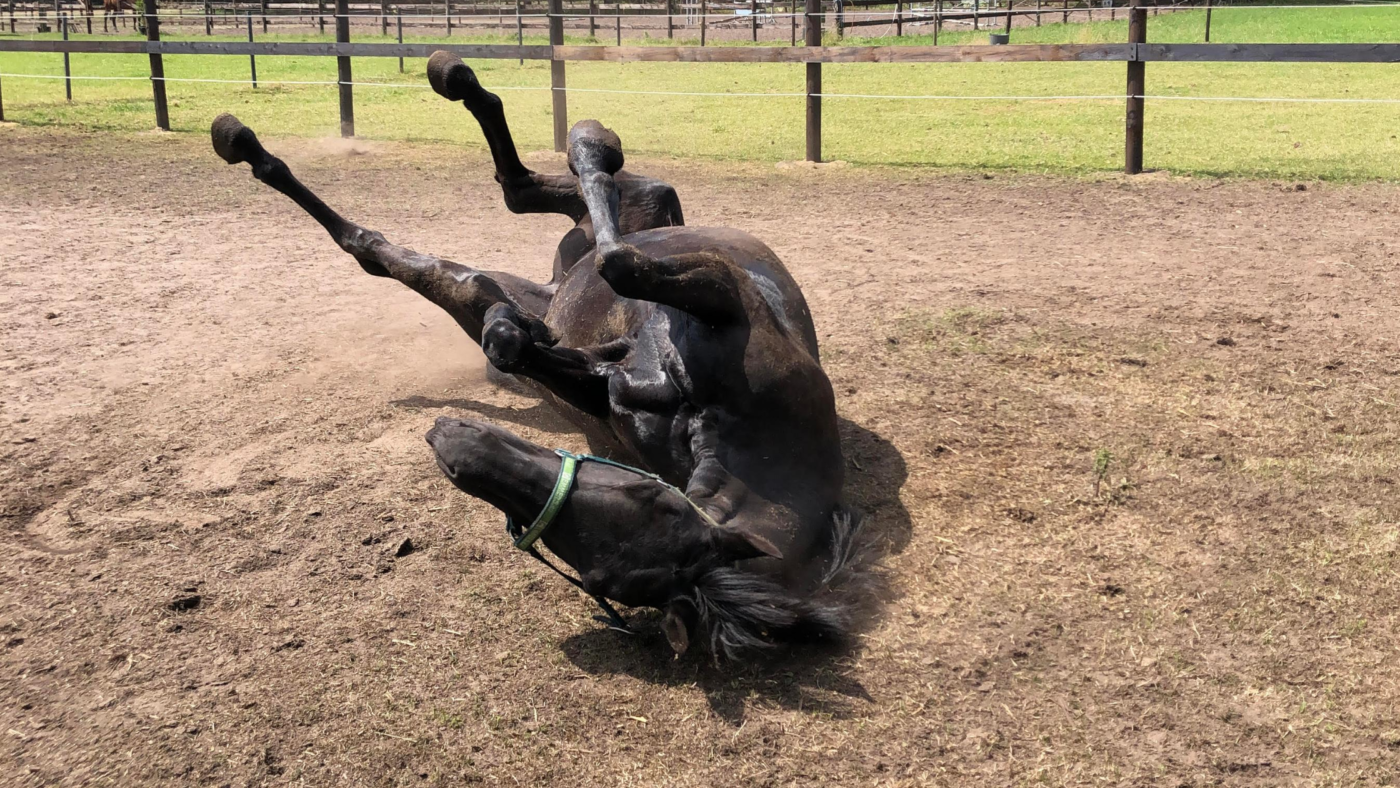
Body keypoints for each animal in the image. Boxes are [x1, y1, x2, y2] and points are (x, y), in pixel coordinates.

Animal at [208, 53, 862, 660]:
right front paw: (586, 155)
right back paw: (543, 120)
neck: (734, 428)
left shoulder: (604, 378)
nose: (456, 452)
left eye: (593, 576)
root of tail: (553, 282)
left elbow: (541, 325)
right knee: (549, 192)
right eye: (646, 495)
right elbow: (615, 265)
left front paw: (514, 332)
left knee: (405, 252)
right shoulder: (721, 297)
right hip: (635, 209)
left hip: (508, 281)